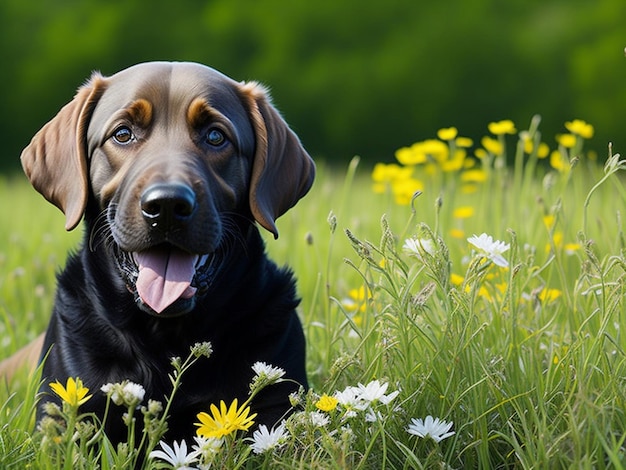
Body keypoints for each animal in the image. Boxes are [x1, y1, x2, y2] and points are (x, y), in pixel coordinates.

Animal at [7, 61, 314, 440]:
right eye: (123, 134)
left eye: (216, 136)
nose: (167, 204)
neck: (164, 339)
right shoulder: (67, 419)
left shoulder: (276, 411)